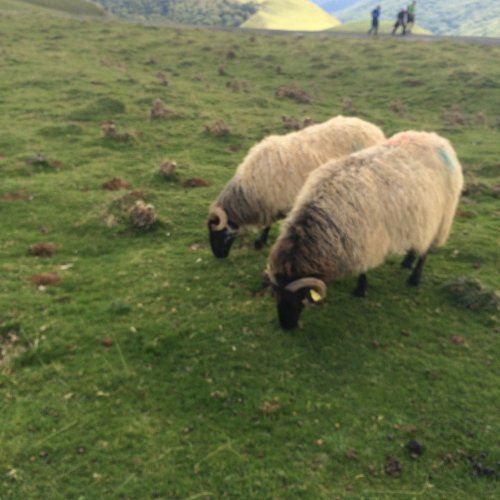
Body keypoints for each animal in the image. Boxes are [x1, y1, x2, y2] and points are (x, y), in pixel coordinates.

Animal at [206, 115, 382, 258]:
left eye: (218, 232)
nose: (218, 255)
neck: (251, 189)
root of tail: (374, 129)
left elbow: (271, 225)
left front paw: (260, 242)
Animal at [268, 131, 462, 330]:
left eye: (296, 299)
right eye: (275, 296)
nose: (286, 326)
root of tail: (438, 139)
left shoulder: (365, 240)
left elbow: (363, 270)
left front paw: (360, 290)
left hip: (440, 217)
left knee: (426, 250)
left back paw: (414, 278)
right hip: (418, 220)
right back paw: (407, 260)